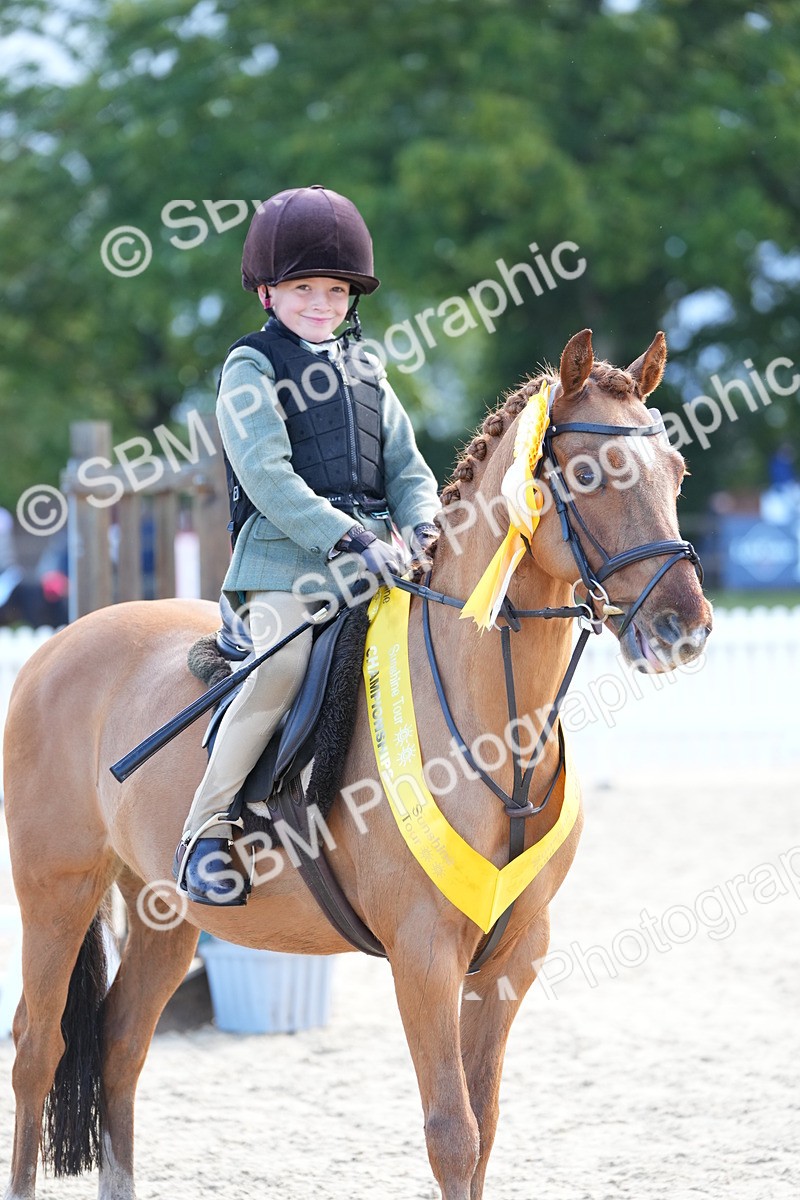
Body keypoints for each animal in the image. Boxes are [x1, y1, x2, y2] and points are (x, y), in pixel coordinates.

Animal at [2, 329, 712, 1200]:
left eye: (676, 473)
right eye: (587, 475)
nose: (684, 627)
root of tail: (56, 648)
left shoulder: (512, 957)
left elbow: (484, 1128)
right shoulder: (424, 956)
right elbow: (452, 1133)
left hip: (164, 913)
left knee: (119, 1045)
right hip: (57, 889)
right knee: (39, 1049)